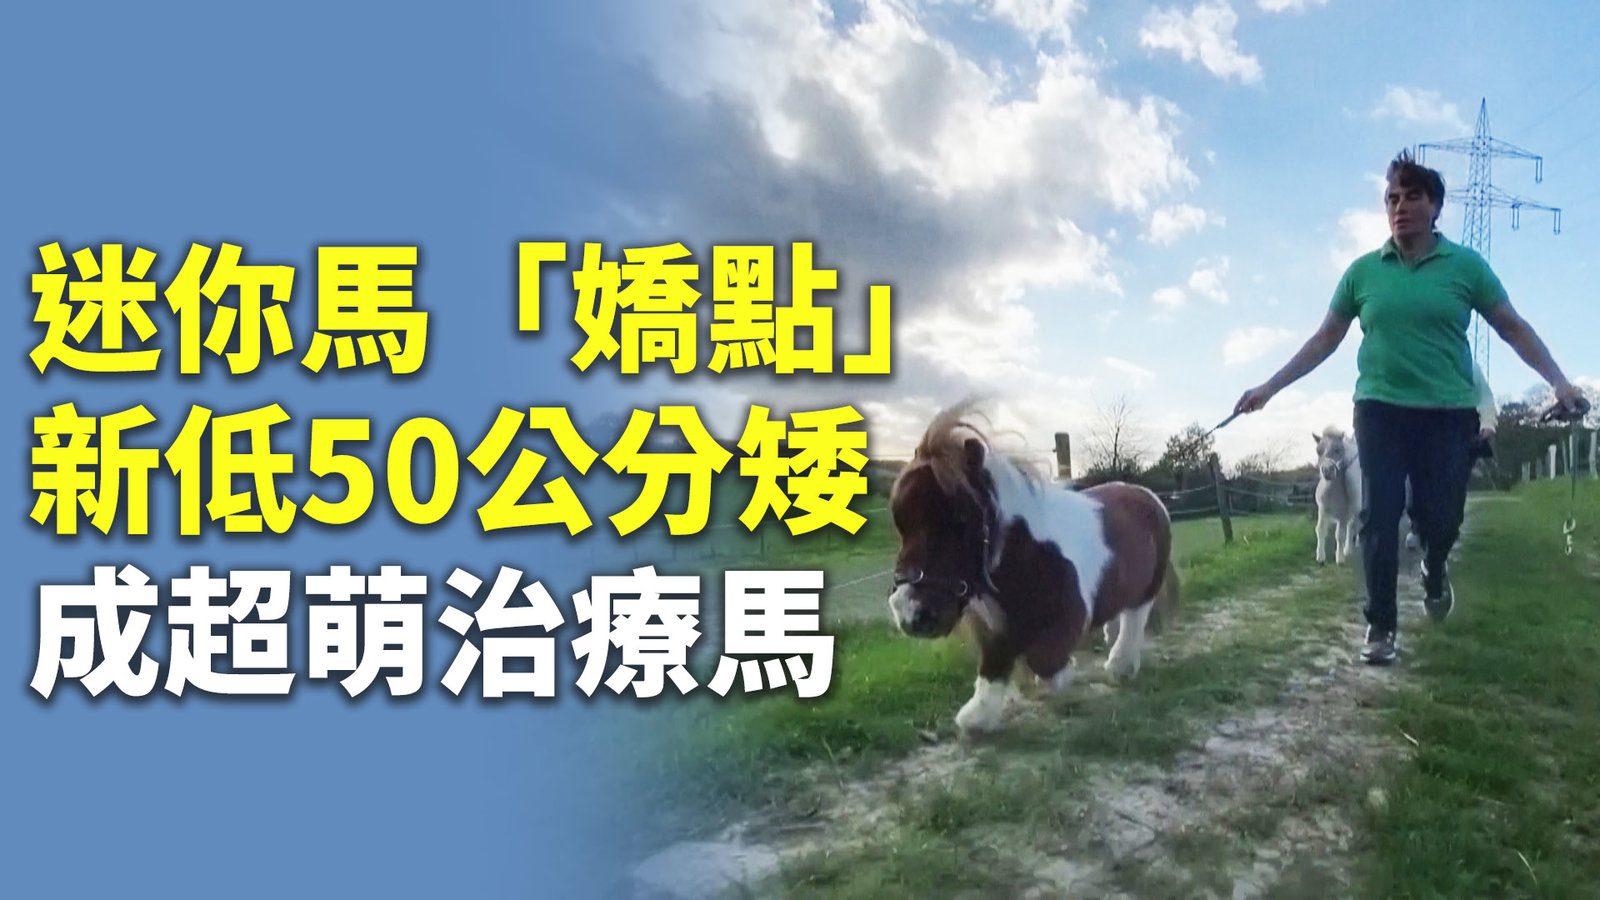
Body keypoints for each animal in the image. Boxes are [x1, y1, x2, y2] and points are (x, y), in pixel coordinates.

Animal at [886, 403, 1179, 735]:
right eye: (900, 524)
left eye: (961, 519)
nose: (910, 613)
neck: (1029, 552)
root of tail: (1148, 496)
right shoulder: (998, 626)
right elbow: (994, 664)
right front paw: (977, 717)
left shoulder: (1068, 619)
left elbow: (1044, 661)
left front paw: (1062, 676)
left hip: (1148, 588)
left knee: (1134, 619)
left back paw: (1121, 665)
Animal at [1312, 426, 1363, 565]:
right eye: (1318, 451)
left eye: (1338, 450)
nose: (1327, 470)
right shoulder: (1322, 510)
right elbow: (1320, 530)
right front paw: (1320, 557)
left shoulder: (1343, 514)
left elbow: (1340, 535)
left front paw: (1339, 559)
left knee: (1352, 527)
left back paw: (1348, 549)